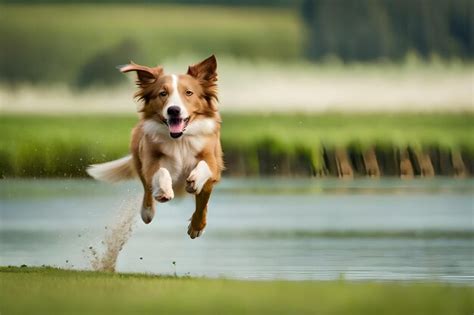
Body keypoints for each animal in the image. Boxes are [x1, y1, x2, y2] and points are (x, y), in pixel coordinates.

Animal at [86, 56, 224, 239]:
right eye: (162, 93)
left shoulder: (213, 163)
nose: (173, 110)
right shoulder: (150, 158)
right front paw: (164, 190)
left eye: (188, 93)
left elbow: (203, 175)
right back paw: (147, 211)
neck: (179, 140)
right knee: (146, 188)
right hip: (139, 158)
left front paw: (196, 224)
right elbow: (160, 172)